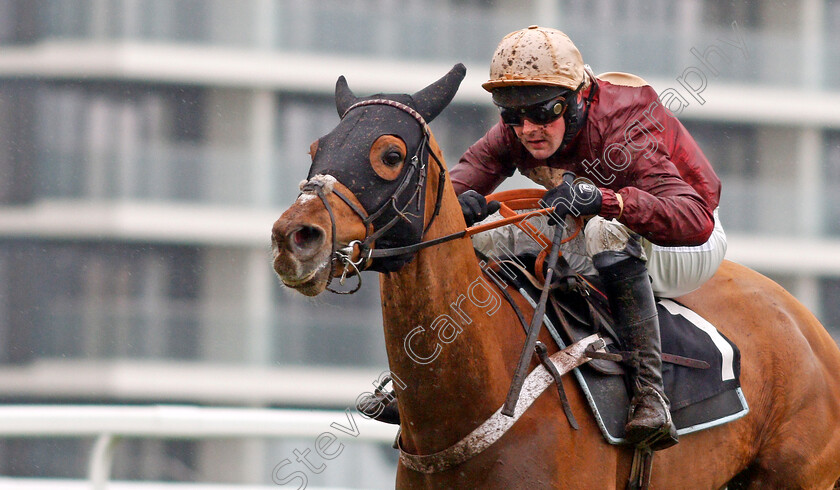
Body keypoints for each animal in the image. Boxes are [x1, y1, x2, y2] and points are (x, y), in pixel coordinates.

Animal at [274, 64, 840, 486]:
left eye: (390, 154)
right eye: (315, 148)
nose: (292, 238)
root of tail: (810, 327)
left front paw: (578, 196)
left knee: (614, 238)